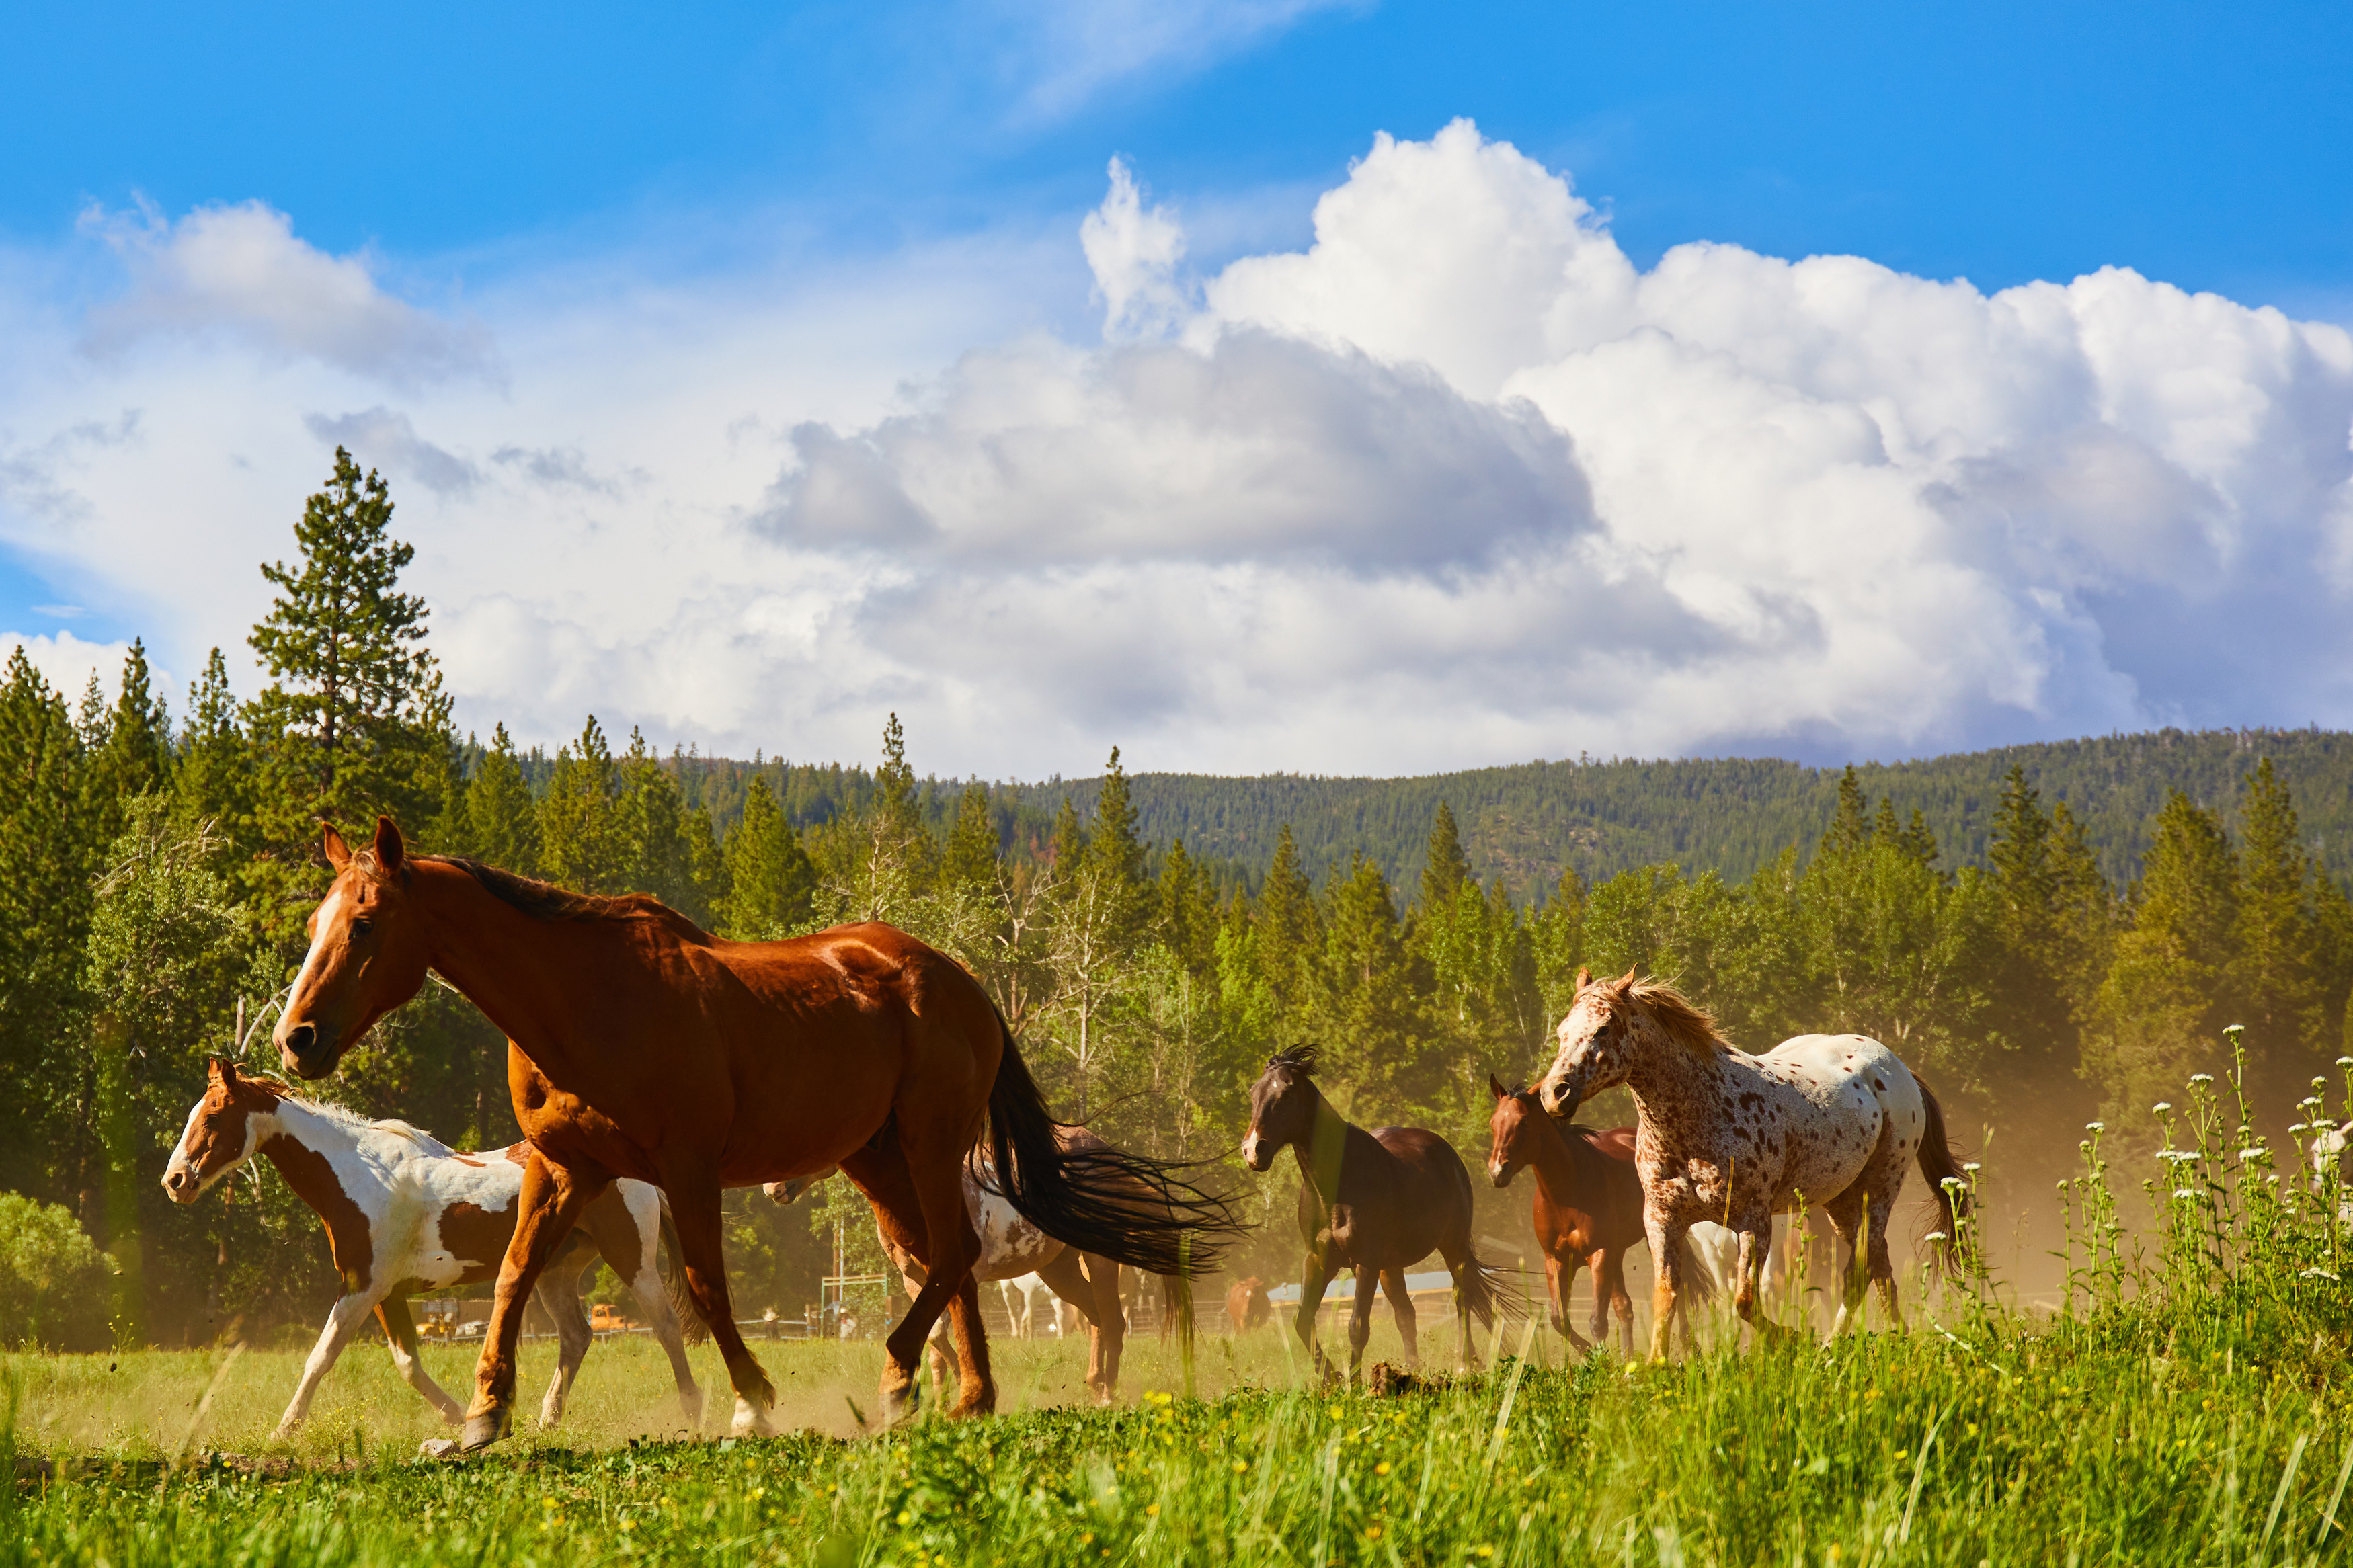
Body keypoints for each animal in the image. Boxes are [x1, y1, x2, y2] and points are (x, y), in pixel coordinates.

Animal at [161, 1057, 702, 1438]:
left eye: (214, 1116)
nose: (175, 1180)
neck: (359, 1175)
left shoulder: (361, 1287)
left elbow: (320, 1357)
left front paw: (284, 1430)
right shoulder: (387, 1292)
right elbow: (408, 1365)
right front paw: (466, 1418)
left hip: (632, 1259)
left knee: (666, 1325)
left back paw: (695, 1413)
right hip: (555, 1273)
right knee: (577, 1336)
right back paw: (548, 1421)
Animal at [272, 817, 1236, 1447]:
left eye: (365, 922)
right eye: (316, 921)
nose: (297, 1037)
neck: (586, 1001)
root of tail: (957, 980)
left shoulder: (687, 1167)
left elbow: (707, 1289)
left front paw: (751, 1399)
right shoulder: (563, 1167)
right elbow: (512, 1276)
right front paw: (481, 1415)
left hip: (925, 1144)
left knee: (952, 1255)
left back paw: (902, 1377)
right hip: (875, 1158)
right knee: (950, 1259)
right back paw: (965, 1394)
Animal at [1241, 1047, 1513, 1381]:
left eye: (1288, 1092)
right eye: (1253, 1092)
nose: (1253, 1149)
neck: (1335, 1186)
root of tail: (1447, 1154)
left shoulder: (1365, 1262)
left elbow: (1357, 1326)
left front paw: (1354, 1383)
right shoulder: (1318, 1259)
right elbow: (1302, 1321)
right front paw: (1331, 1377)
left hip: (1453, 1246)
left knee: (1462, 1299)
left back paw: (1465, 1363)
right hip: (1391, 1266)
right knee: (1406, 1314)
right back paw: (1415, 1371)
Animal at [1534, 968, 1970, 1359]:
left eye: (1603, 1029)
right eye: (1562, 1031)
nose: (1554, 1094)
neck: (1697, 1112)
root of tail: (1896, 1067)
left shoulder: (1752, 1220)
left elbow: (1745, 1301)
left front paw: (1794, 1338)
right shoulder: (1661, 1219)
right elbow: (1667, 1298)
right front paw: (1652, 1367)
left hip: (1879, 1191)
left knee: (1859, 1270)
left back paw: (1830, 1345)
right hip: (1842, 1202)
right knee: (1880, 1266)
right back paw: (1899, 1337)